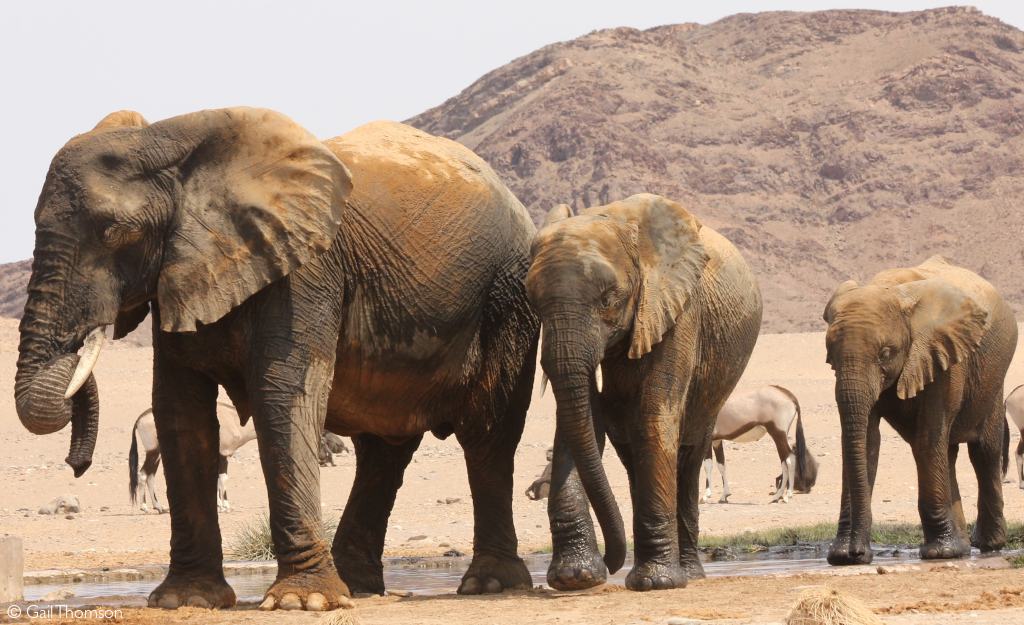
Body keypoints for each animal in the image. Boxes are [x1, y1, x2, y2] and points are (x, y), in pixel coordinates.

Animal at [16, 107, 540, 606]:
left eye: (113, 231)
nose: (76, 465)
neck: (175, 141)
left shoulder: (305, 268)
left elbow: (281, 393)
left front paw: (302, 601)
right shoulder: (182, 275)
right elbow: (180, 411)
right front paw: (185, 599)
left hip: (507, 300)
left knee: (487, 435)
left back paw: (489, 584)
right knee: (383, 451)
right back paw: (357, 586)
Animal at [528, 193, 761, 590]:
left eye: (608, 299)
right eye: (534, 302)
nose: (610, 564)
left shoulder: (678, 308)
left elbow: (654, 415)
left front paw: (656, 583)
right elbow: (579, 420)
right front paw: (575, 577)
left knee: (688, 455)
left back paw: (689, 574)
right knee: (630, 448)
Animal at [823, 254, 1015, 565]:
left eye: (885, 354)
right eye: (830, 357)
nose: (857, 552)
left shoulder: (943, 355)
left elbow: (927, 439)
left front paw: (939, 554)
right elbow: (866, 441)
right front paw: (842, 557)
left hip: (993, 378)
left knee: (983, 451)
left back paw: (987, 545)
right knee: (947, 453)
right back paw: (962, 548)